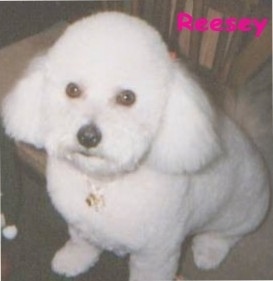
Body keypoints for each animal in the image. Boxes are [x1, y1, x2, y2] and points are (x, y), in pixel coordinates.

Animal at [2, 12, 268, 278]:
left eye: (127, 97)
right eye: (72, 89)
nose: (88, 136)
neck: (105, 183)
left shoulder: (156, 254)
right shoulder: (81, 224)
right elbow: (82, 242)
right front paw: (73, 260)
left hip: (241, 215)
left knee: (225, 236)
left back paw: (208, 253)